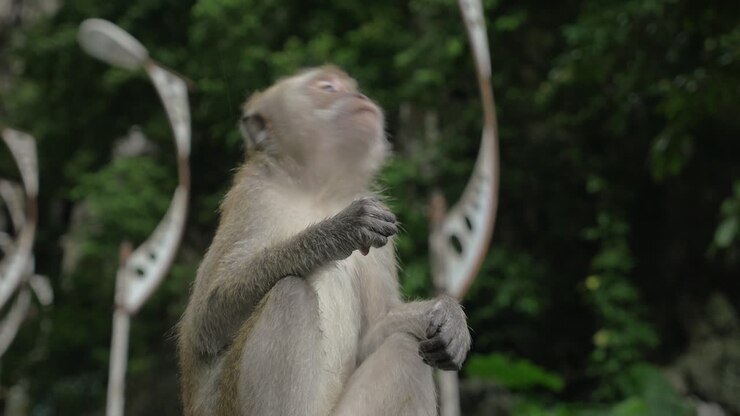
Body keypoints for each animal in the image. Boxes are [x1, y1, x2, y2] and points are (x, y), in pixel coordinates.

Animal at [177, 65, 471, 416]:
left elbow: (373, 332)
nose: (358, 96)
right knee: (289, 294)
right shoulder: (252, 198)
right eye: (328, 87)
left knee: (403, 349)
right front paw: (338, 230)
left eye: (349, 86)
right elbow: (205, 321)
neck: (316, 191)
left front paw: (447, 316)